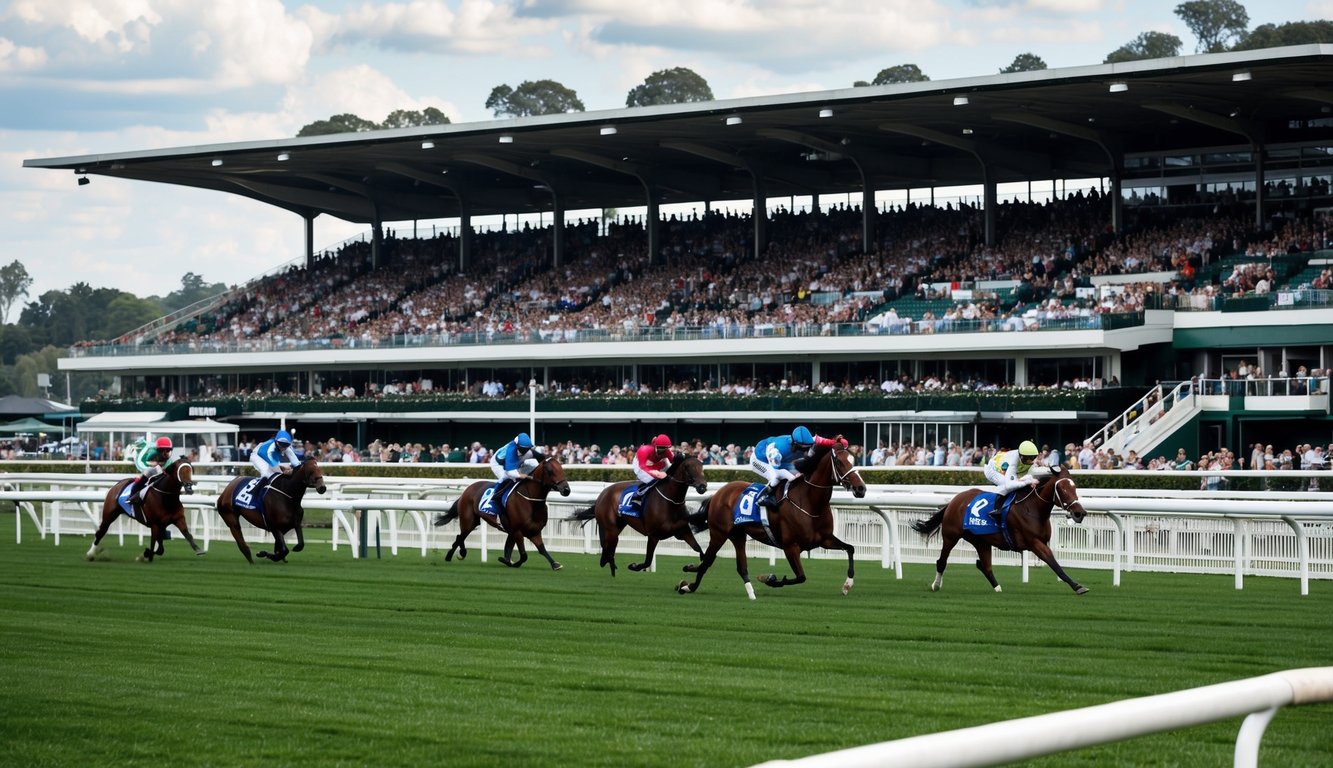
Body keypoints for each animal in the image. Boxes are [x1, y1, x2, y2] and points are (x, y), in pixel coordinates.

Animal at [429, 456, 570, 570]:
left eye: (562, 470)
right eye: (550, 471)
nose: (566, 490)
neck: (531, 500)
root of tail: (467, 490)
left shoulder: (533, 531)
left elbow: (541, 549)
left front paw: (555, 564)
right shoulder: (517, 531)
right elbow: (523, 555)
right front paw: (510, 562)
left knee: (461, 536)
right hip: (468, 520)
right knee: (461, 536)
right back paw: (455, 554)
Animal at [575, 456, 714, 576]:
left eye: (702, 467)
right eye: (687, 467)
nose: (702, 486)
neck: (671, 501)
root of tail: (603, 493)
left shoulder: (683, 531)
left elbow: (699, 550)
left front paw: (690, 567)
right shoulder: (653, 535)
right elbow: (647, 560)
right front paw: (634, 566)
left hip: (618, 526)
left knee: (608, 549)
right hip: (611, 528)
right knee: (608, 548)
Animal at [677, 442, 863, 600]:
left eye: (854, 460)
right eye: (839, 461)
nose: (861, 488)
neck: (809, 503)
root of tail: (719, 493)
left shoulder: (824, 539)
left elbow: (850, 549)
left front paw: (847, 585)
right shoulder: (790, 546)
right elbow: (801, 577)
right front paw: (769, 578)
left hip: (738, 536)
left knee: (739, 566)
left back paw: (750, 594)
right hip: (719, 533)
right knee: (707, 561)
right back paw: (687, 585)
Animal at [911, 461, 1087, 594]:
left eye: (1075, 487)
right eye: (1062, 488)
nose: (1079, 513)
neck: (1033, 508)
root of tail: (953, 501)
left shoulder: (1043, 541)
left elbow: (1055, 561)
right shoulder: (1034, 543)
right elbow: (1054, 564)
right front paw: (1077, 586)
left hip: (981, 541)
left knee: (984, 565)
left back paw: (997, 588)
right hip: (950, 536)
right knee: (941, 561)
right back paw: (935, 585)